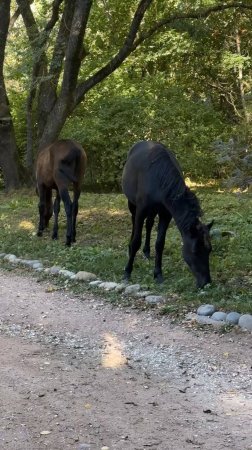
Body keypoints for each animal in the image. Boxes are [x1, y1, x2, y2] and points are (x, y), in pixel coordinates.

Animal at [122, 141, 213, 288]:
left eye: (209, 249)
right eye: (195, 251)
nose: (206, 282)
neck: (158, 177)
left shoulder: (165, 214)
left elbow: (160, 244)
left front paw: (158, 274)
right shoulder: (141, 210)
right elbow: (136, 241)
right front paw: (127, 272)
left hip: (153, 211)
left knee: (149, 225)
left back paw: (147, 252)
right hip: (132, 204)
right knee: (134, 223)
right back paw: (130, 249)